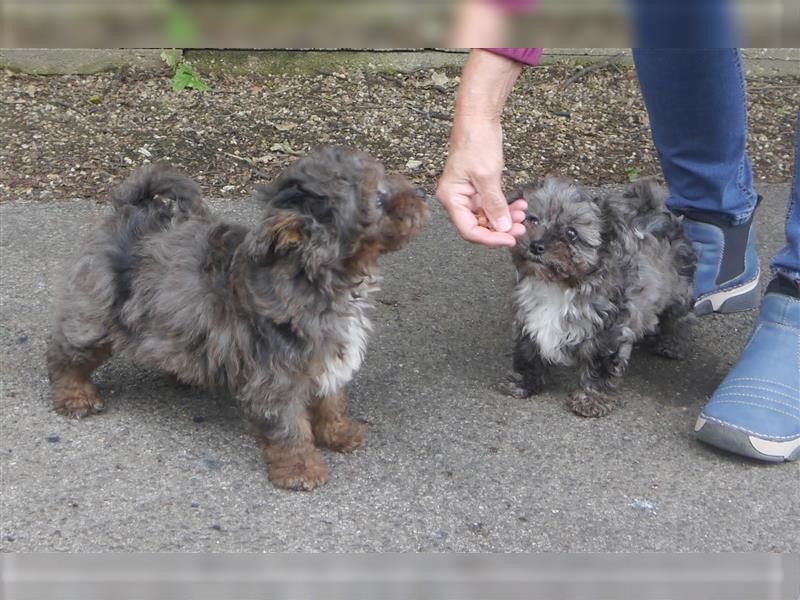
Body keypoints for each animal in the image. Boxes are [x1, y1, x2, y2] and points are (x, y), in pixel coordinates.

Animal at [47, 148, 428, 490]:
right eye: (378, 200)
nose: (422, 193)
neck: (313, 276)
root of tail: (130, 209)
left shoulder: (327, 357)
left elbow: (332, 401)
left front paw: (339, 432)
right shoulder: (277, 378)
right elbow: (289, 428)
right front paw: (301, 469)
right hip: (95, 316)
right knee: (65, 354)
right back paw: (75, 396)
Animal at [500, 178, 692, 418]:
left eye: (571, 233)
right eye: (532, 219)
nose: (536, 245)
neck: (559, 285)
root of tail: (654, 210)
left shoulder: (608, 331)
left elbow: (599, 365)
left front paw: (591, 399)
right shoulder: (527, 320)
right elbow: (527, 353)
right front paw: (522, 383)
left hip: (679, 289)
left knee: (679, 317)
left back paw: (672, 344)